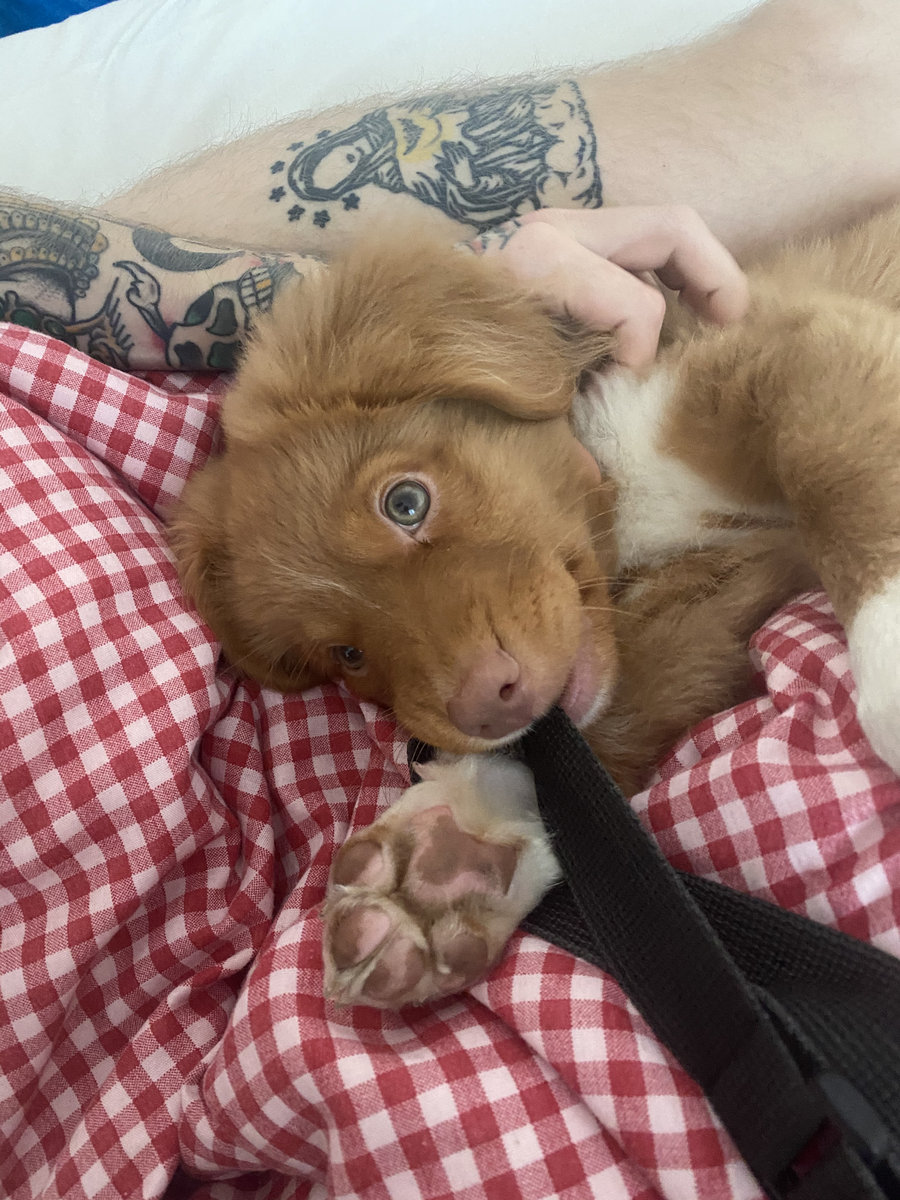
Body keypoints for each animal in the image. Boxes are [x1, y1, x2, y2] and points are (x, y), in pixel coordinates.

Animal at [171, 205, 900, 1008]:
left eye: (406, 501)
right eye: (348, 654)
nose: (487, 705)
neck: (623, 492)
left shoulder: (804, 345)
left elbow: (836, 465)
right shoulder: (722, 587)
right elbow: (620, 716)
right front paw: (453, 855)